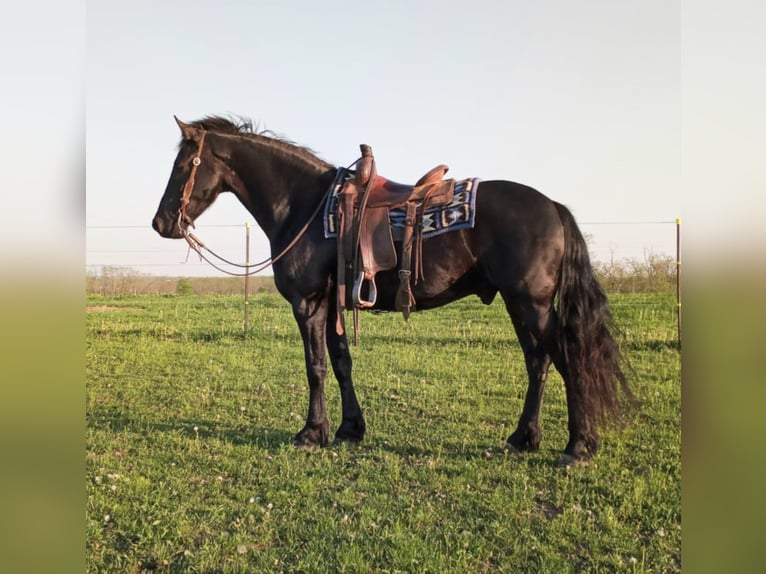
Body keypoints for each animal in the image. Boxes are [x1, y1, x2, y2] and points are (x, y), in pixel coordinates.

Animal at [153, 115, 632, 466]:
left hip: (531, 304)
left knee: (565, 359)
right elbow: (341, 363)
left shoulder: (308, 304)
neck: (303, 206)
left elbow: (316, 367)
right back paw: (523, 437)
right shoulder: (333, 305)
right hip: (521, 304)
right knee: (539, 363)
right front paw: (348, 429)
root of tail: (552, 206)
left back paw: (577, 447)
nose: (161, 223)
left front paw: (311, 433)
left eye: (182, 166)